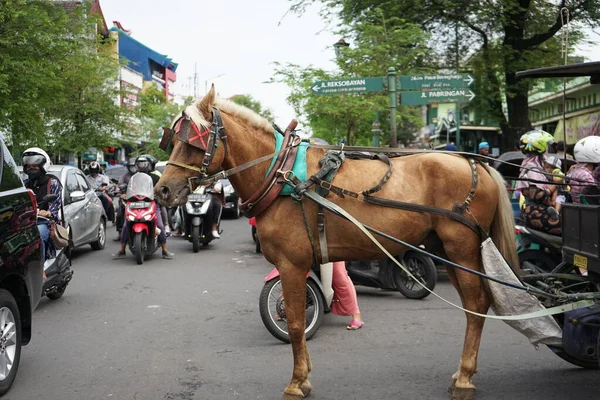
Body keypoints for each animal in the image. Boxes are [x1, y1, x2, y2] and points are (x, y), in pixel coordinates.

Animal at [157, 86, 516, 400]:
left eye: (193, 143)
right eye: (172, 141)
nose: (162, 191)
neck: (280, 176)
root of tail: (476, 163)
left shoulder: (291, 264)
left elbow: (296, 322)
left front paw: (296, 383)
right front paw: (304, 377)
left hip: (462, 249)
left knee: (476, 304)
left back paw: (465, 379)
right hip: (445, 249)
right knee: (475, 304)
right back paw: (461, 373)